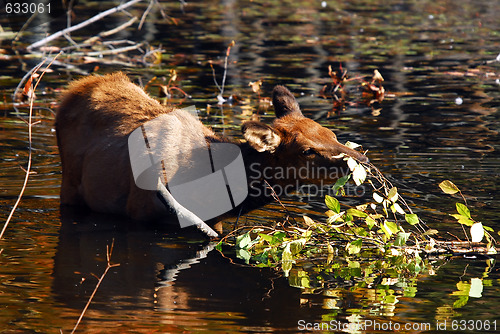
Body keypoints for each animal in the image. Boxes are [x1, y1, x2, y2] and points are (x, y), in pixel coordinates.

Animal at [55, 72, 368, 235]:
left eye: (332, 134)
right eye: (306, 150)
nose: (361, 159)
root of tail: (75, 87)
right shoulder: (140, 213)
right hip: (69, 186)